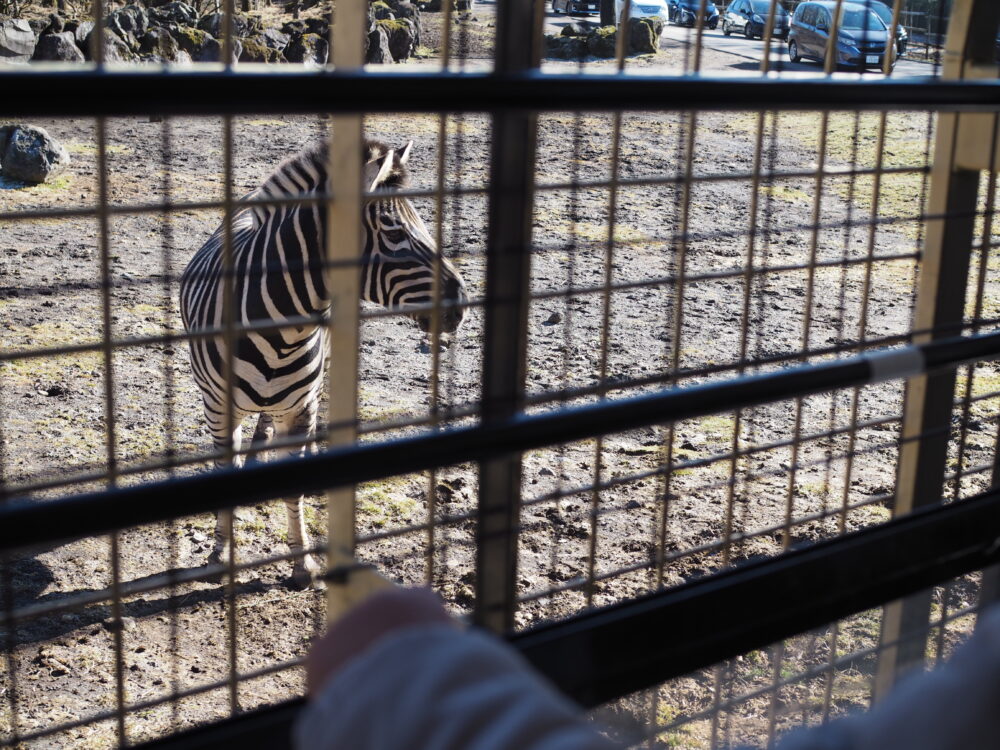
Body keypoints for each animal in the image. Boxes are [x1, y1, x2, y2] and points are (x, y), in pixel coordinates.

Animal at [181, 140, 468, 588]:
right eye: (395, 232)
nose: (461, 305)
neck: (279, 335)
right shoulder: (217, 407)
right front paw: (219, 553)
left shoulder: (302, 407)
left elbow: (293, 486)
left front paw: (303, 565)